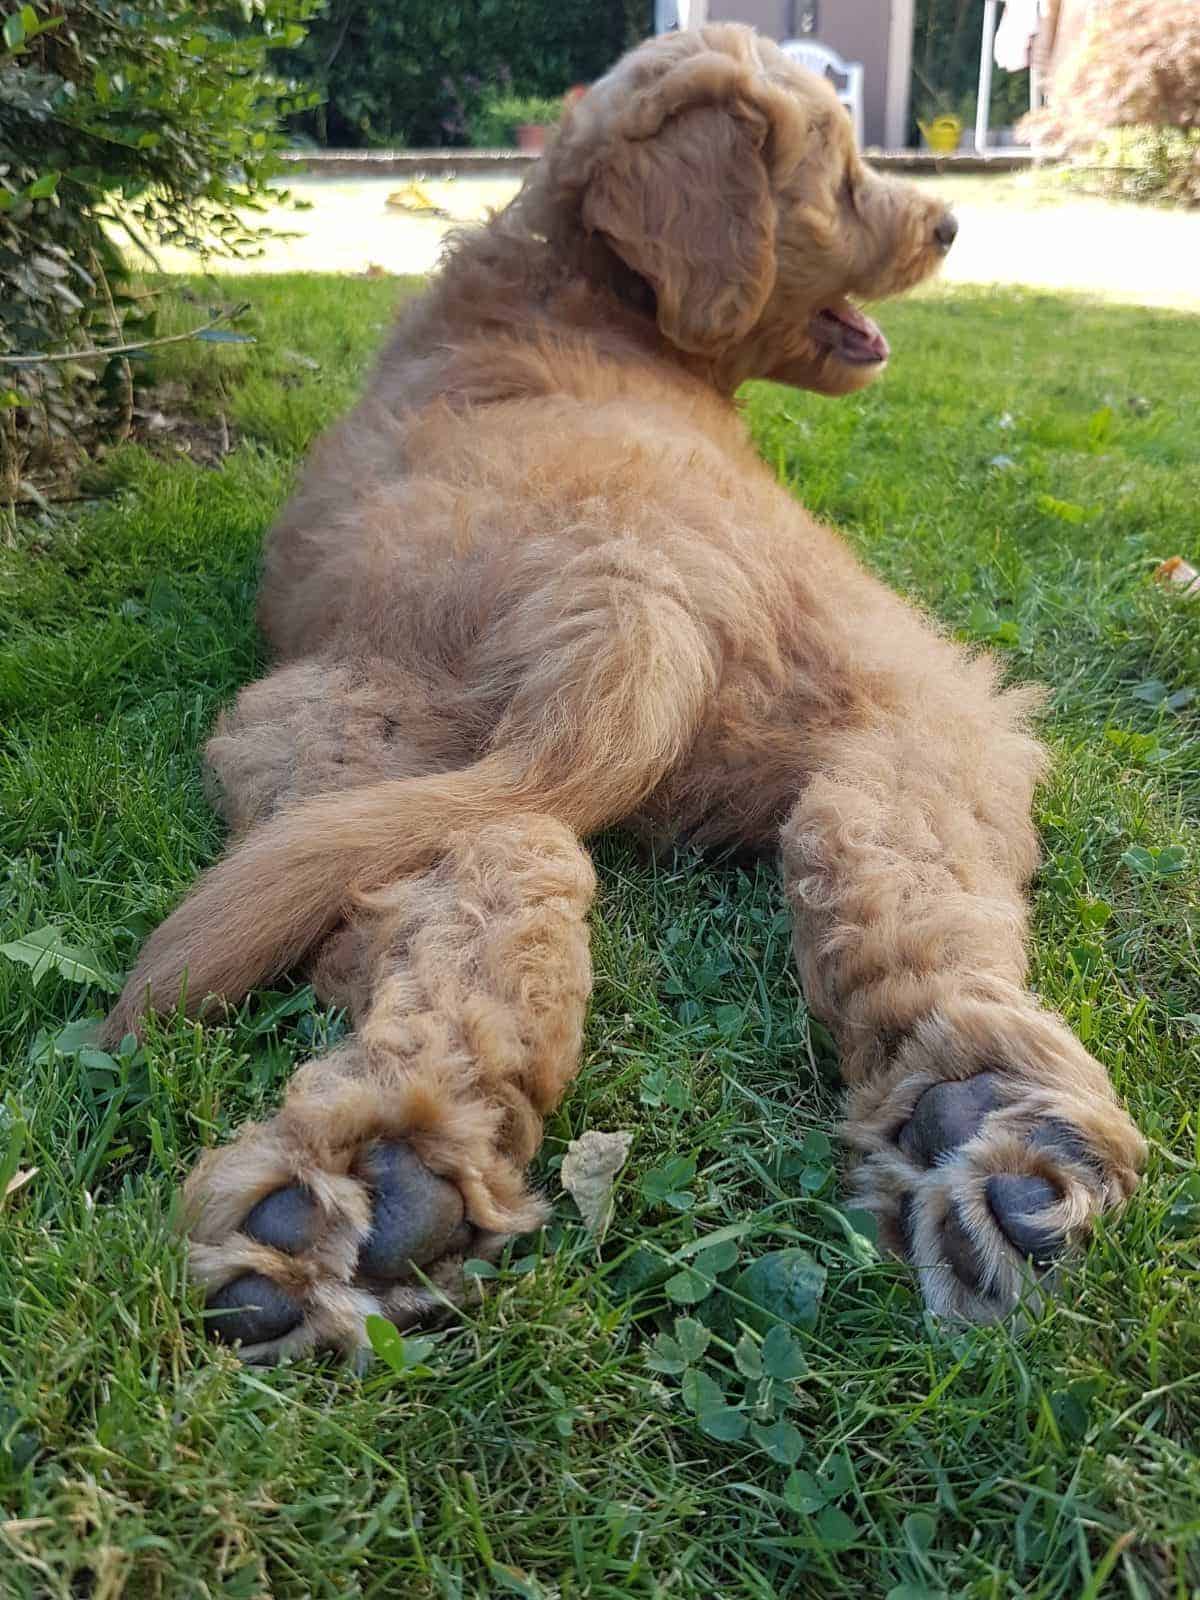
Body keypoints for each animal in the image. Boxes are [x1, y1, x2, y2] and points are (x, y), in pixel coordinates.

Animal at [105, 21, 1145, 1363]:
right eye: (841, 167)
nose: (950, 226)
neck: (571, 296)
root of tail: (627, 585)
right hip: (928, 681)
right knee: (900, 876)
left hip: (344, 729)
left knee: (502, 871)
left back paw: (380, 1174)